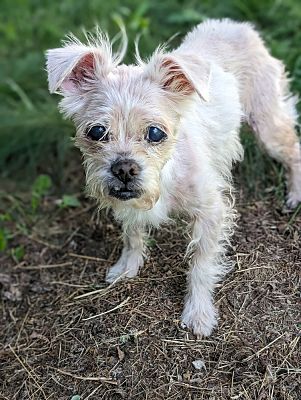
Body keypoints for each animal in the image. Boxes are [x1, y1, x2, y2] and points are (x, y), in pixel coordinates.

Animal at [45, 19, 300, 338]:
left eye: (156, 133)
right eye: (96, 132)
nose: (124, 168)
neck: (166, 175)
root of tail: (238, 25)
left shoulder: (211, 213)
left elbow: (201, 265)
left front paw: (199, 313)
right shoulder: (129, 207)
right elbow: (132, 236)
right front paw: (127, 267)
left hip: (267, 126)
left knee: (294, 150)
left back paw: (295, 194)